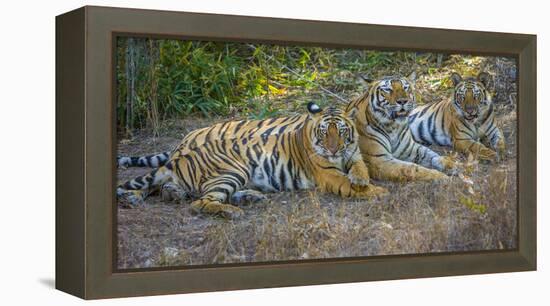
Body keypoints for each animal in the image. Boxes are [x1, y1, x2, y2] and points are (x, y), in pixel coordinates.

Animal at [117, 104, 388, 219]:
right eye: (324, 133)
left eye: (340, 131)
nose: (333, 149)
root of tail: (184, 150)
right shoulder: (329, 174)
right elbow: (349, 184)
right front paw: (378, 191)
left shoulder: (353, 155)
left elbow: (359, 168)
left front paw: (362, 179)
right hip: (232, 171)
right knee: (198, 202)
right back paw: (232, 211)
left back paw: (250, 197)